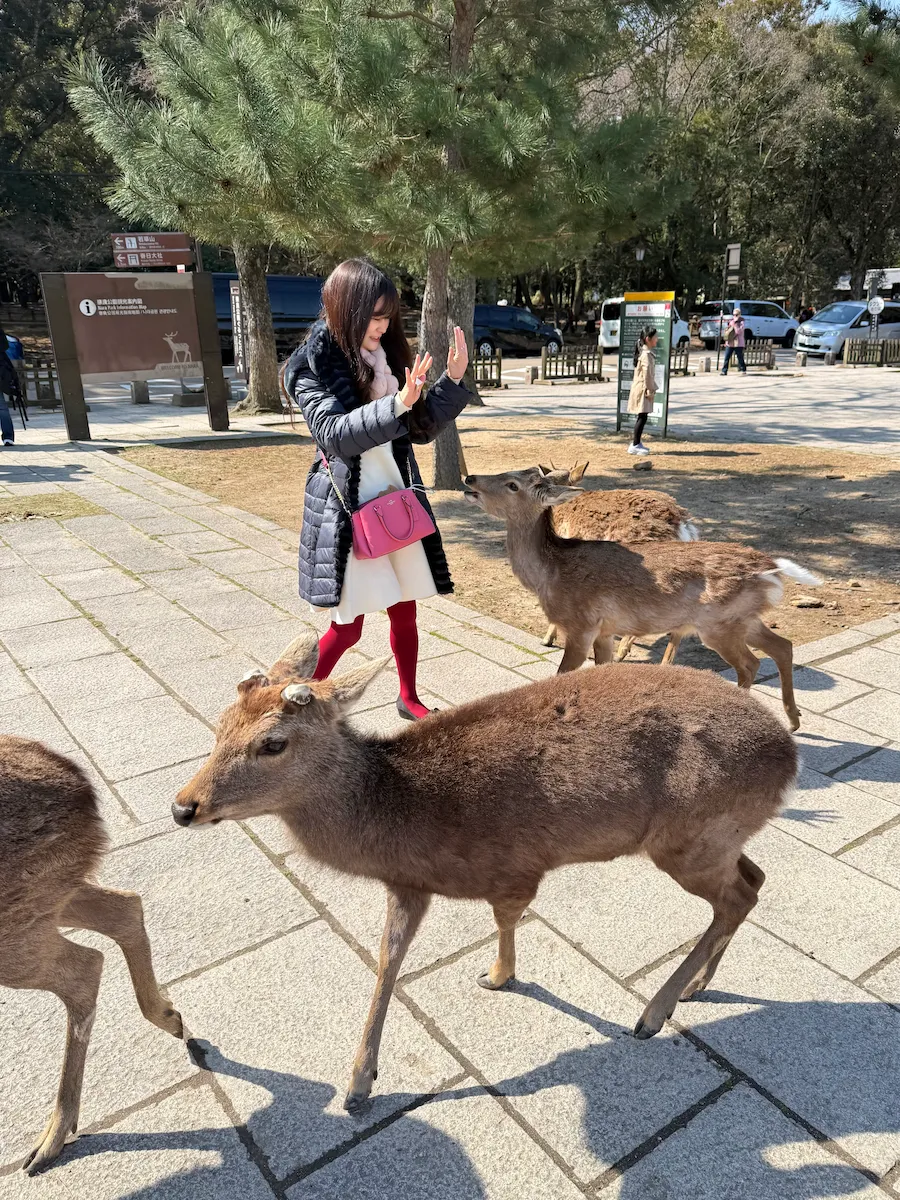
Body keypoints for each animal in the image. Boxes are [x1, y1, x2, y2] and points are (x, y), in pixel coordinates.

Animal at [0, 737, 184, 1174]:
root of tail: (82, 787)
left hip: (20, 919)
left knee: (85, 965)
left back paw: (51, 1138)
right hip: (43, 896)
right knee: (125, 907)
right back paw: (171, 1017)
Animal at [172, 631, 797, 1114]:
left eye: (273, 743)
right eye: (220, 726)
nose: (183, 806)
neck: (404, 820)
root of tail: (789, 761)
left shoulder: (512, 867)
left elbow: (502, 920)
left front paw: (496, 977)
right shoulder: (409, 885)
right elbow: (387, 961)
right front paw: (357, 1085)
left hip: (689, 837)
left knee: (737, 896)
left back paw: (652, 1013)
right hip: (715, 840)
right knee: (754, 880)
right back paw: (697, 985)